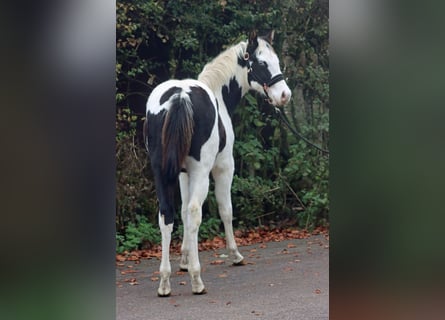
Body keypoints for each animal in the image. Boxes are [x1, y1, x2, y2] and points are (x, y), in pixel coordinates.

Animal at [142, 31, 294, 296]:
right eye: (262, 63)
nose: (284, 95)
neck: (217, 95)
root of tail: (180, 96)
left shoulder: (183, 174)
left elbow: (182, 212)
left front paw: (183, 260)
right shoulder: (223, 167)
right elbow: (225, 209)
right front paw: (235, 255)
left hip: (161, 172)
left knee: (167, 215)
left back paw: (164, 282)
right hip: (202, 172)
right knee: (195, 211)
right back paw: (196, 280)